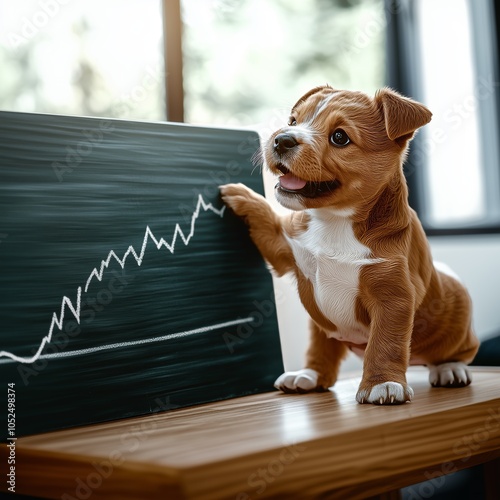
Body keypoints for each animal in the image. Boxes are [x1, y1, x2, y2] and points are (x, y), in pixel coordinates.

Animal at [221, 86, 478, 404]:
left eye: (340, 137)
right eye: (293, 121)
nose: (282, 139)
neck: (335, 220)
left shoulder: (393, 296)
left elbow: (385, 343)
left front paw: (383, 383)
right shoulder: (287, 249)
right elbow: (270, 224)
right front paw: (243, 195)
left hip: (455, 322)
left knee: (457, 351)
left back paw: (450, 368)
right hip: (320, 327)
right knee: (321, 350)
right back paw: (309, 375)